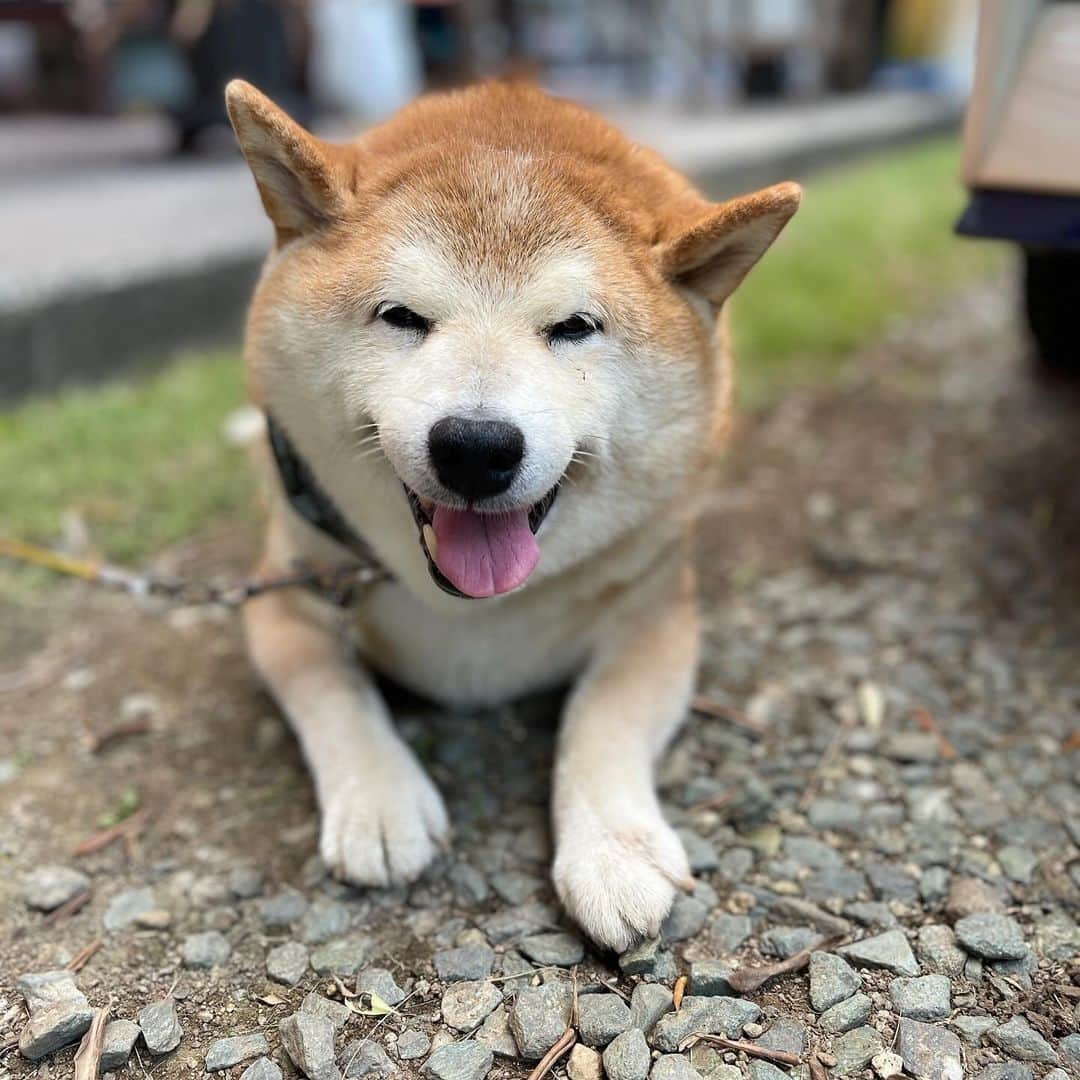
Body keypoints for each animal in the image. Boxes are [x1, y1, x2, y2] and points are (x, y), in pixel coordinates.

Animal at [227, 79, 799, 950]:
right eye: (401, 316)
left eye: (574, 328)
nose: (475, 446)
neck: (472, 617)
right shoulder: (284, 594)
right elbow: (331, 687)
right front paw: (380, 798)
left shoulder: (659, 611)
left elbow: (601, 718)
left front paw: (613, 850)